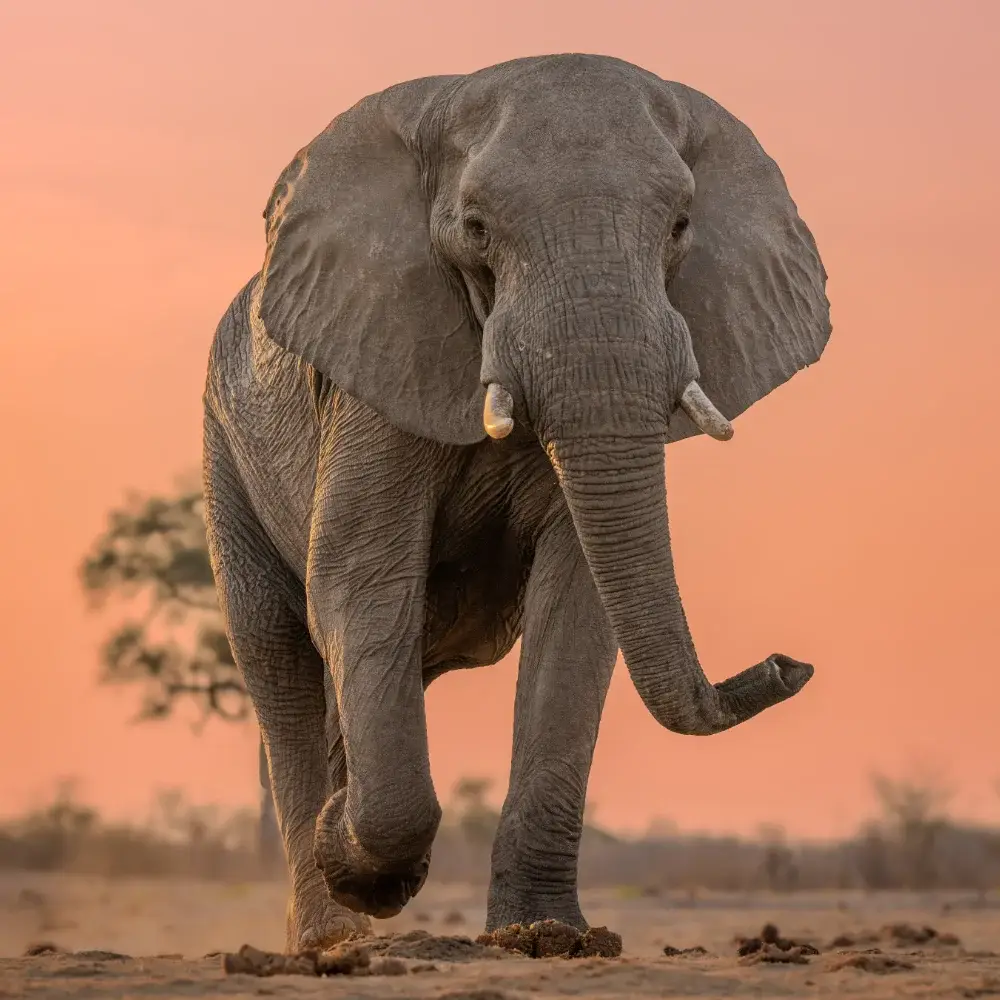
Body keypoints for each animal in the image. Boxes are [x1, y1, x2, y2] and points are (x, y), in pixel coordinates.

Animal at [202, 53, 831, 952]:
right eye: (475, 227)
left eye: (680, 226)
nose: (789, 663)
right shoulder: (374, 368)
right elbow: (362, 579)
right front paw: (369, 869)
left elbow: (578, 602)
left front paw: (545, 936)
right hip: (225, 454)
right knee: (277, 655)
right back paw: (332, 937)